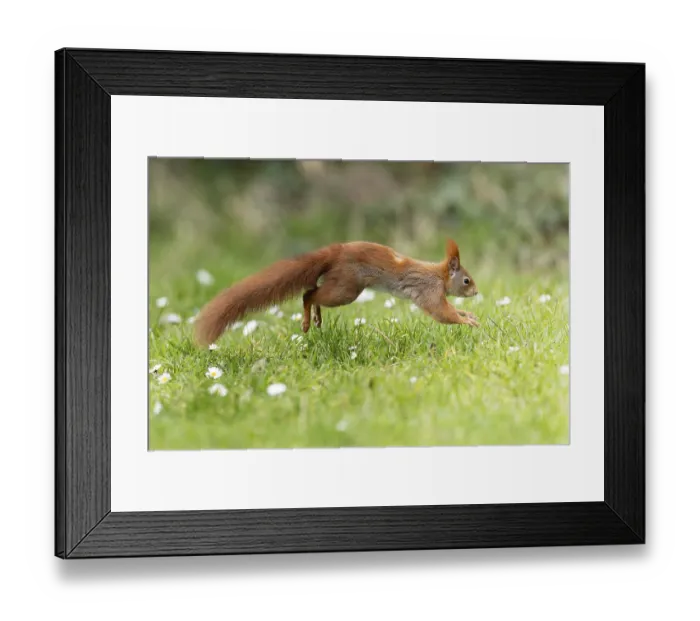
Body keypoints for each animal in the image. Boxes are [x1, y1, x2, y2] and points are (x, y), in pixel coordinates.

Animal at [193, 238, 480, 346]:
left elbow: (449, 309)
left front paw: (469, 315)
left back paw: (317, 318)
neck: (440, 275)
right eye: (467, 280)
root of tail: (337, 251)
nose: (477, 292)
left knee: (313, 291)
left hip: (342, 286)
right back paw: (308, 321)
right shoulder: (429, 291)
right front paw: (466, 320)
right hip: (346, 289)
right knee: (309, 294)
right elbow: (442, 313)